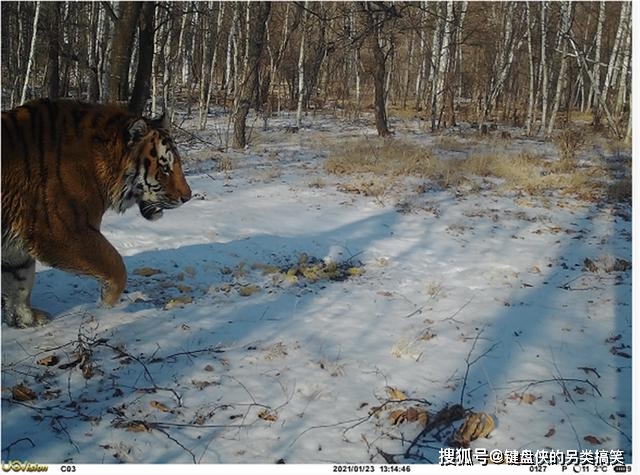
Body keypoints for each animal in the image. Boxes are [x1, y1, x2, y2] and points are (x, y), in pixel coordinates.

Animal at [2, 96, 192, 328]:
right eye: (165, 168)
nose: (188, 196)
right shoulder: (63, 231)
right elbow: (115, 263)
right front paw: (107, 302)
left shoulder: (16, 248)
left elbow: (19, 283)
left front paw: (24, 319)